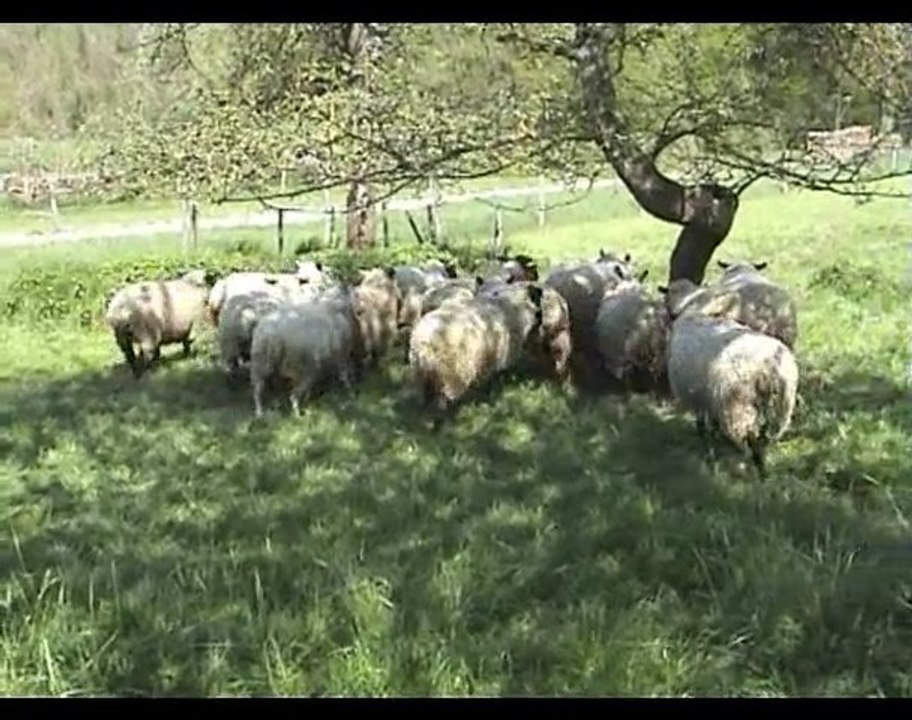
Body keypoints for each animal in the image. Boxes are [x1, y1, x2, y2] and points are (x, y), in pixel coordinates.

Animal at [408, 284, 546, 426]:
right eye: (538, 299)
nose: (542, 324)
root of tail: (423, 343)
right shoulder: (498, 356)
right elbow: (492, 380)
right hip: (451, 373)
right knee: (443, 401)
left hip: (423, 375)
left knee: (427, 398)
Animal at [661, 280, 799, 478]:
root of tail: (767, 368)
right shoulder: (707, 397)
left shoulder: (698, 397)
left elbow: (702, 426)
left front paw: (709, 451)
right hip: (779, 406)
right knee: (764, 438)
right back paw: (763, 470)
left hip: (738, 406)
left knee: (750, 439)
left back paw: (751, 466)